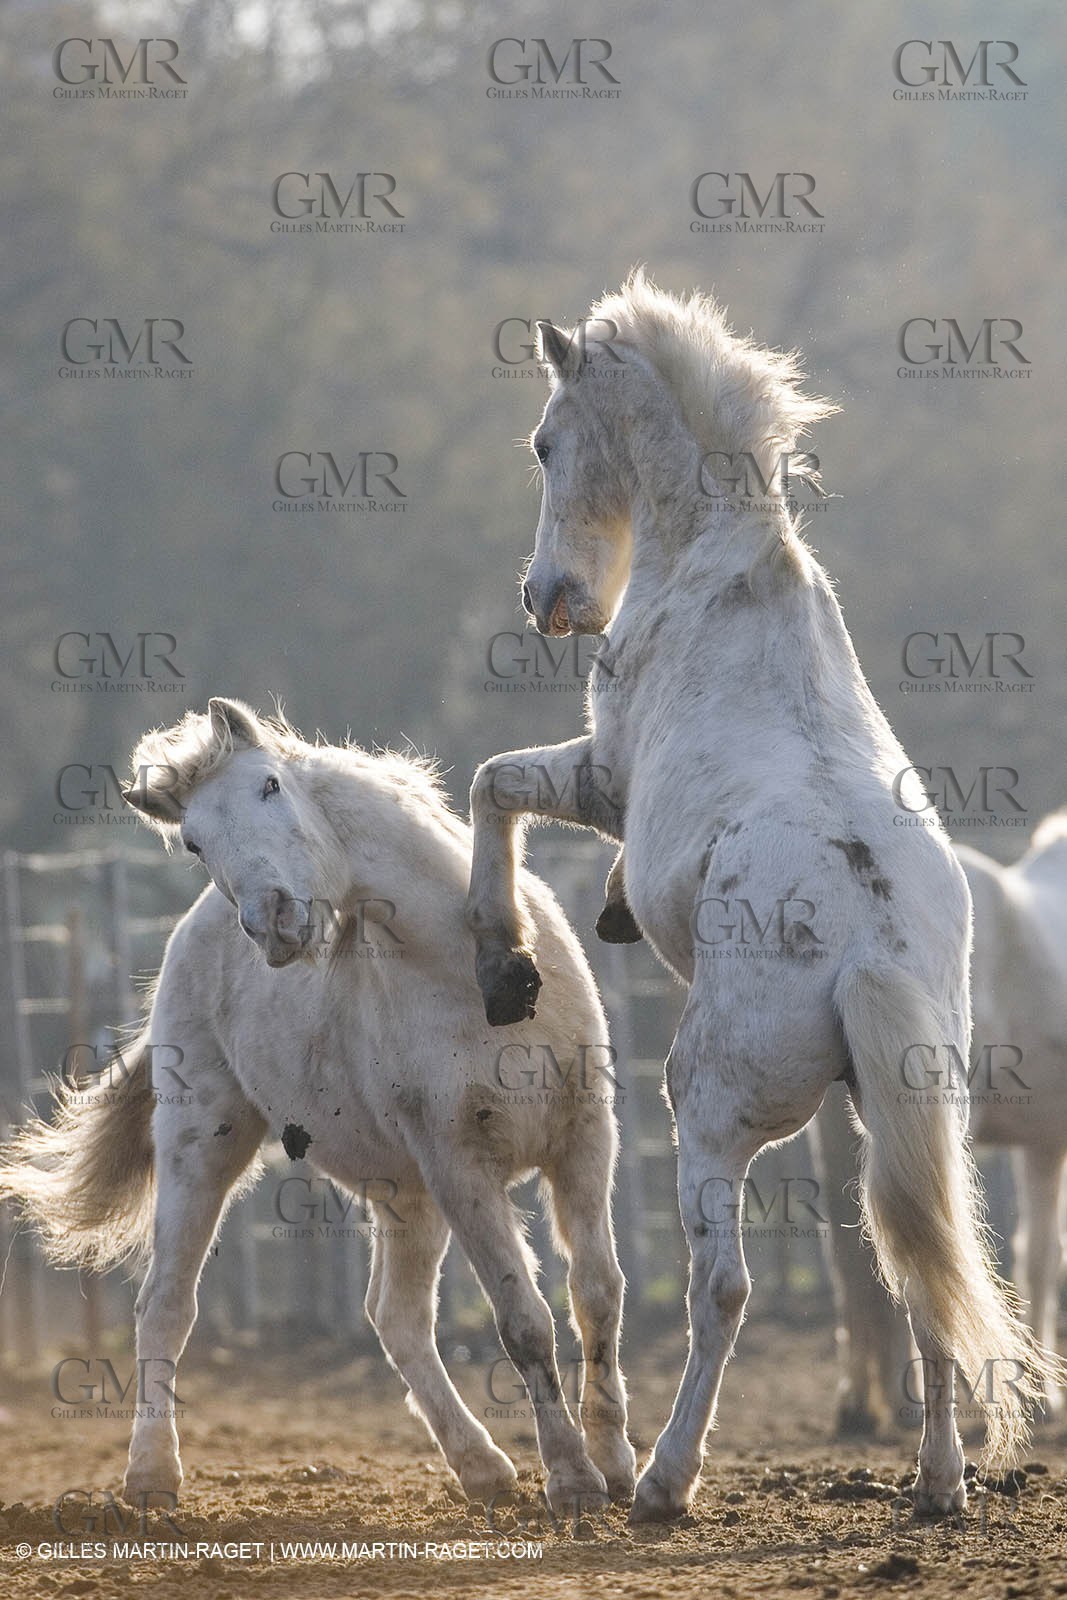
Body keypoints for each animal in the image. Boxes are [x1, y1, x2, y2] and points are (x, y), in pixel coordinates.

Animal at [0, 698, 636, 1515]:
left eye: (270, 785)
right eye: (194, 839)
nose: (272, 918)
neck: (460, 972)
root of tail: (194, 931)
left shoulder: (582, 1142)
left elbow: (597, 1295)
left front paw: (617, 1469)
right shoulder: (460, 1165)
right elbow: (522, 1321)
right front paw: (573, 1482)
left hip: (405, 1195)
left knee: (395, 1318)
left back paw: (484, 1470)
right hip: (204, 1147)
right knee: (165, 1306)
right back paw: (151, 1477)